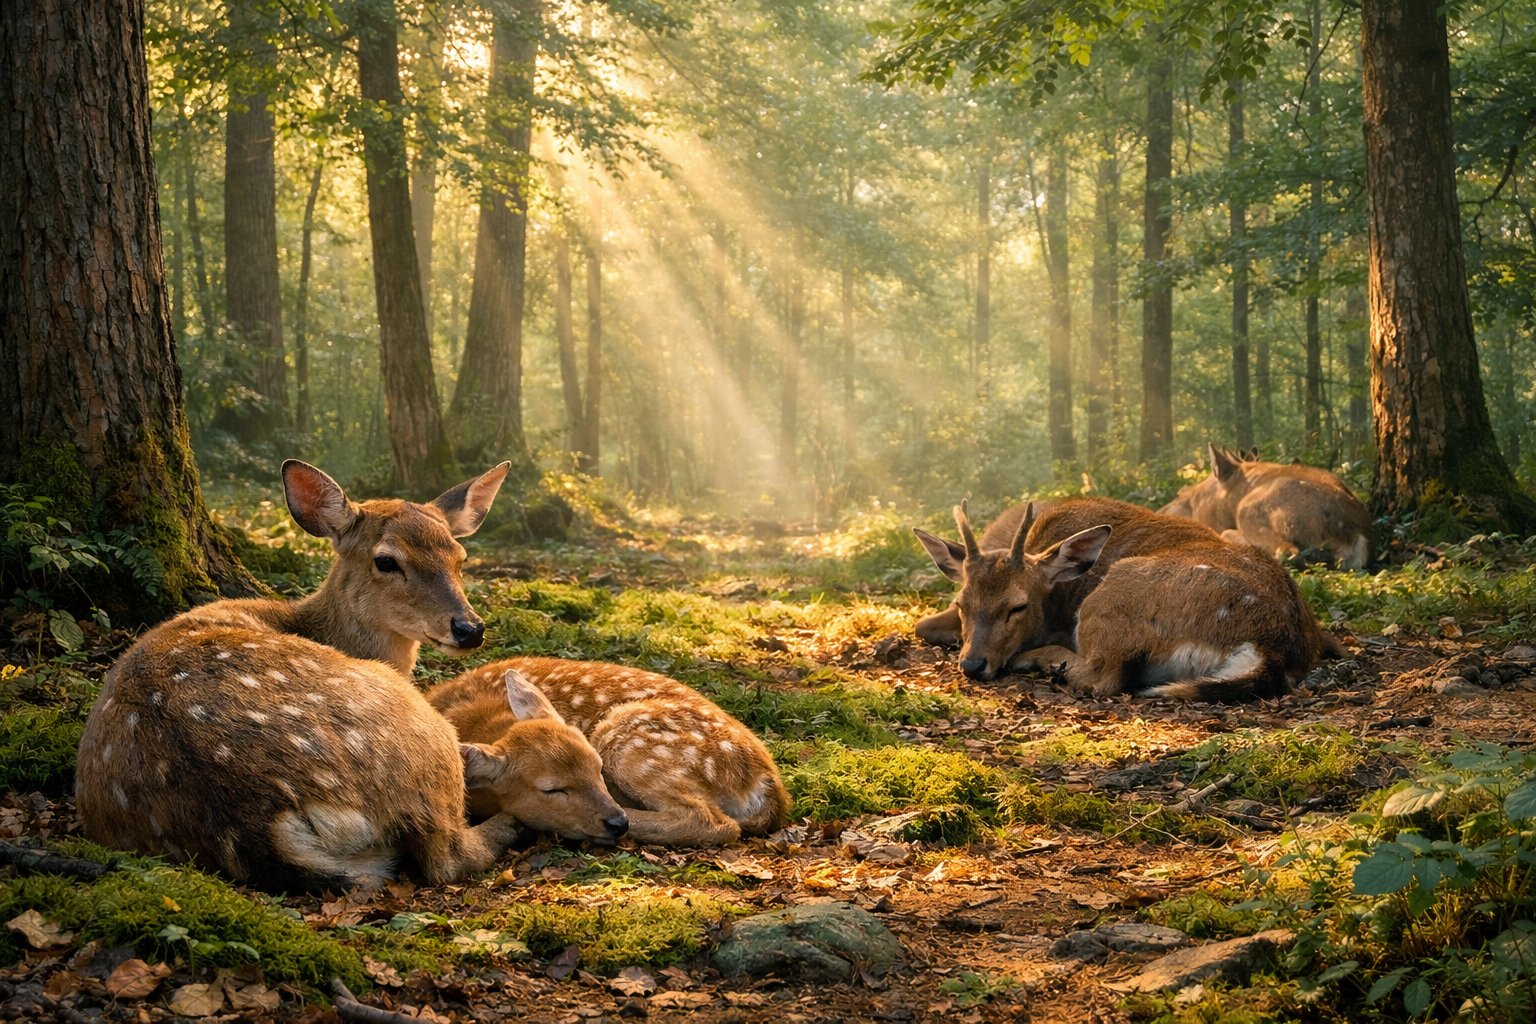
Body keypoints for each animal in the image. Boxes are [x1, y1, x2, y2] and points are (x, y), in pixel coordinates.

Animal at [76, 460, 526, 892]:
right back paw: (510, 821)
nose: (470, 629)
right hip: (423, 732)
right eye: (385, 560)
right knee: (446, 856)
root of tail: (261, 823)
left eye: (459, 557)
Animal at [428, 657, 791, 847]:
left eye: (597, 766)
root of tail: (767, 783)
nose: (616, 821)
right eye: (551, 789)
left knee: (714, 821)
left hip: (628, 738)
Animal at [913, 497, 1339, 701]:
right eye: (963, 604)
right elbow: (921, 625)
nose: (972, 665)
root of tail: (1271, 649)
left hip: (1111, 598)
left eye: (1018, 606)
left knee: (1103, 677)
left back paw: (1039, 661)